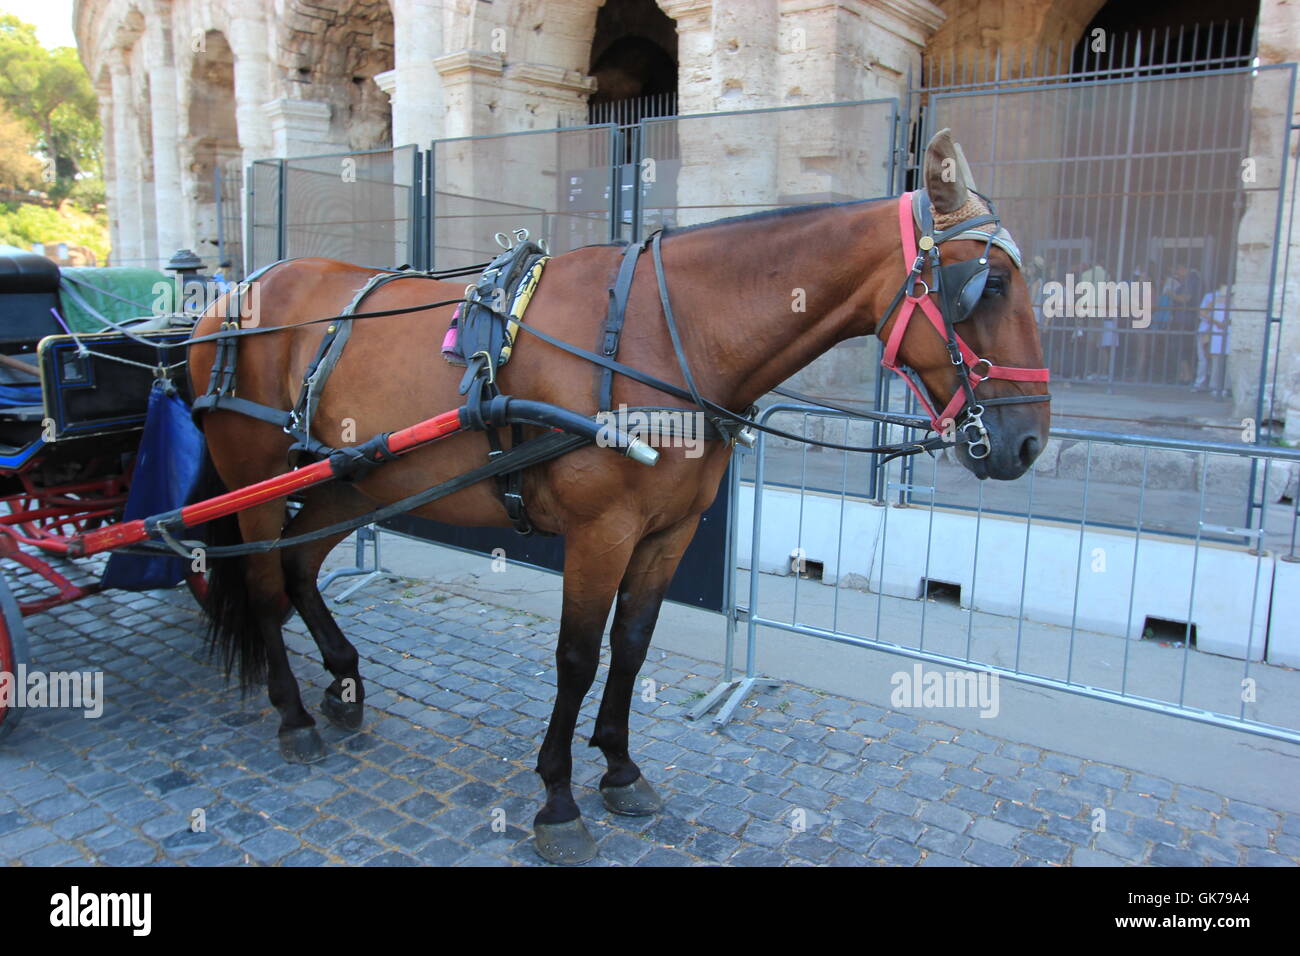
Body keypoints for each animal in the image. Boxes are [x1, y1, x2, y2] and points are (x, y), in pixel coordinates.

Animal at [188, 128, 1050, 868]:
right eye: (987, 285)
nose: (1031, 441)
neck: (664, 336)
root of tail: (235, 293)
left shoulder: (668, 533)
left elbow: (631, 647)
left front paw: (620, 768)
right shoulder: (599, 534)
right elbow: (576, 658)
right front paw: (558, 799)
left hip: (349, 478)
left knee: (298, 571)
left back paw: (341, 682)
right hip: (256, 481)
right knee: (262, 586)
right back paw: (295, 715)